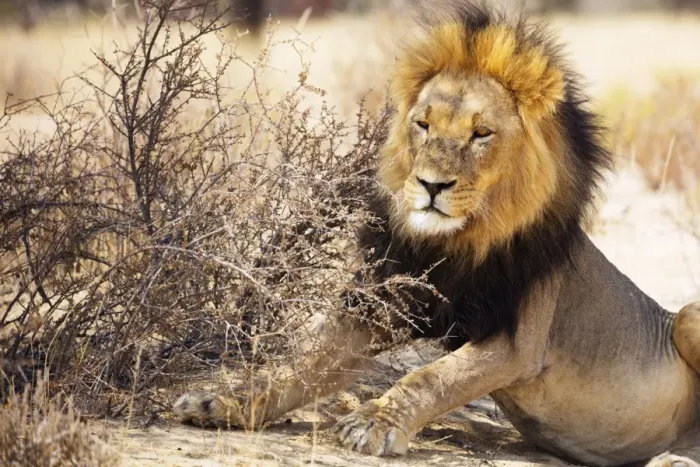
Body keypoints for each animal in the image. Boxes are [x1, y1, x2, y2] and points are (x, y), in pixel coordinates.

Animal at [173, 2, 700, 466]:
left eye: (481, 134)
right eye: (423, 124)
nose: (431, 185)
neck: (453, 244)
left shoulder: (518, 342)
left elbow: (432, 377)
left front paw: (374, 422)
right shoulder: (376, 307)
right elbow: (300, 365)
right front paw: (223, 401)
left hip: (686, 315)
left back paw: (672, 460)